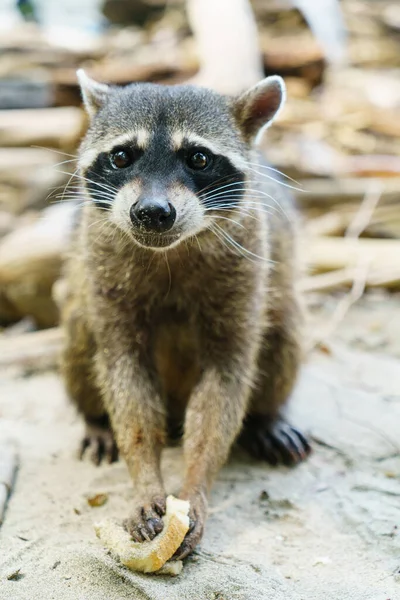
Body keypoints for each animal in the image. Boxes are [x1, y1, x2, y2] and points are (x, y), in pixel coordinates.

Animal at [60, 71, 310, 556]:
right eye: (122, 156)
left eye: (198, 158)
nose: (152, 213)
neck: (170, 252)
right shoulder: (103, 262)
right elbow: (126, 376)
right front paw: (144, 478)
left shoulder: (246, 260)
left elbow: (225, 381)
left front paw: (196, 486)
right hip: (84, 296)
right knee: (81, 331)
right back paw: (95, 420)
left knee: (284, 327)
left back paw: (269, 416)